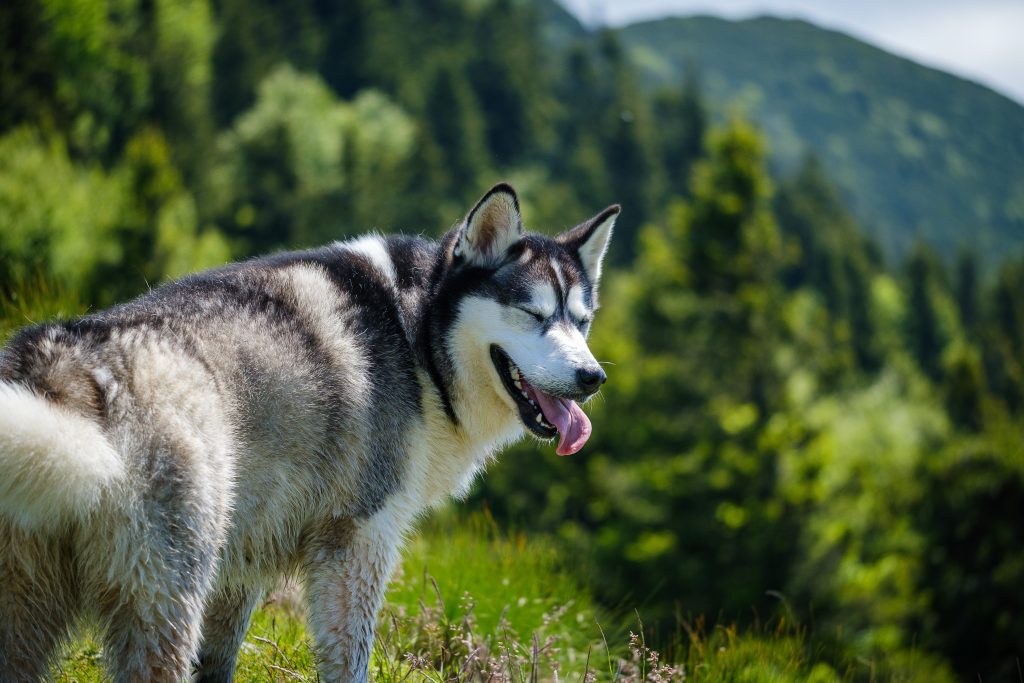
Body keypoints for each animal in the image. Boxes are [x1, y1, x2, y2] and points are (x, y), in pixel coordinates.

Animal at [0, 184, 614, 679]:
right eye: (533, 315)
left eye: (582, 322)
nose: (593, 377)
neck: (418, 336)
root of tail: (66, 368)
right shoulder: (359, 540)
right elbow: (351, 660)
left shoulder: (244, 559)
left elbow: (218, 661)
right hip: (169, 593)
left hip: (35, 611)